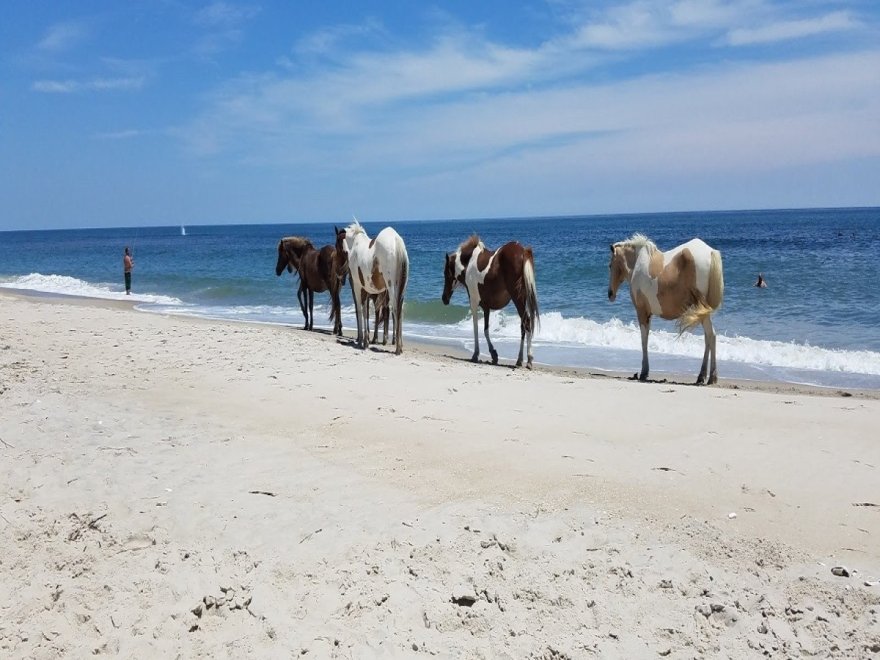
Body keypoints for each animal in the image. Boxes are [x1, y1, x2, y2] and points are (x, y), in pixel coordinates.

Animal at [334, 222, 410, 356]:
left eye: (336, 245)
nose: (338, 273)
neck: (354, 245)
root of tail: (396, 240)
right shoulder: (366, 291)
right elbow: (366, 312)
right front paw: (366, 340)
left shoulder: (358, 287)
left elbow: (360, 311)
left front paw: (362, 340)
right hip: (401, 287)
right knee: (399, 310)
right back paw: (399, 346)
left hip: (391, 287)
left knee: (395, 309)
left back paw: (397, 348)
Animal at [444, 236, 540, 372]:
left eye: (446, 274)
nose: (444, 298)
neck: (468, 264)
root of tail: (523, 250)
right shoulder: (486, 307)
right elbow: (486, 329)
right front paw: (493, 354)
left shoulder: (474, 303)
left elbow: (477, 328)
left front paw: (477, 354)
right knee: (523, 325)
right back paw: (519, 360)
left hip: (518, 299)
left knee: (526, 323)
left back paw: (529, 359)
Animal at [608, 233, 724, 384]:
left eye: (610, 265)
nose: (610, 294)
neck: (638, 263)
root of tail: (710, 251)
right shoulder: (648, 314)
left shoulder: (642, 312)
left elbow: (644, 339)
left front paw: (644, 372)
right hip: (702, 313)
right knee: (708, 338)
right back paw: (702, 376)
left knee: (711, 336)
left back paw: (711, 377)